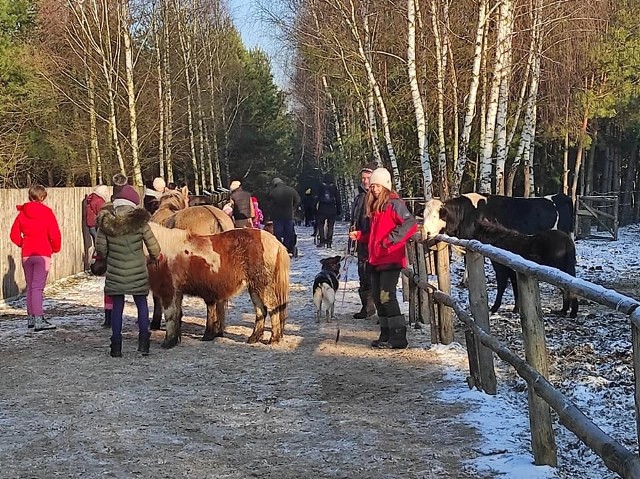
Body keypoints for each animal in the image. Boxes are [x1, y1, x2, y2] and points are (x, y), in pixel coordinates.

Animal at [148, 223, 290, 350]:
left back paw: (274, 339)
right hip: (254, 287)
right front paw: (175, 340)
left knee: (273, 307)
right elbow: (177, 314)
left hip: (263, 285)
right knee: (261, 310)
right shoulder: (177, 293)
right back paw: (254, 338)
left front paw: (168, 342)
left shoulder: (168, 291)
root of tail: (275, 241)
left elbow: (170, 315)